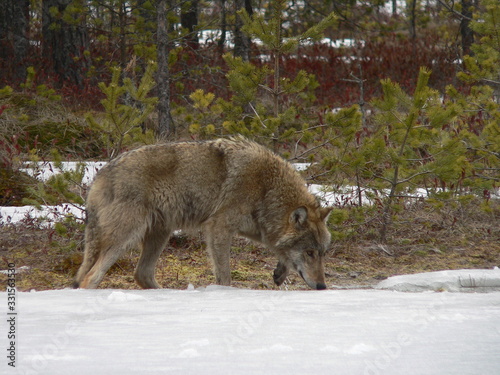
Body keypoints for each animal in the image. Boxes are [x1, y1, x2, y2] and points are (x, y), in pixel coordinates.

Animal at [73, 138, 332, 290]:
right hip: (126, 238)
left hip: (160, 233)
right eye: (309, 252)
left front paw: (280, 272)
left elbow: (280, 250)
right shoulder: (218, 228)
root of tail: (100, 175)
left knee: (141, 274)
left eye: (321, 253)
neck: (267, 188)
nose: (322, 287)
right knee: (90, 278)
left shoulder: (255, 229)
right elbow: (224, 276)